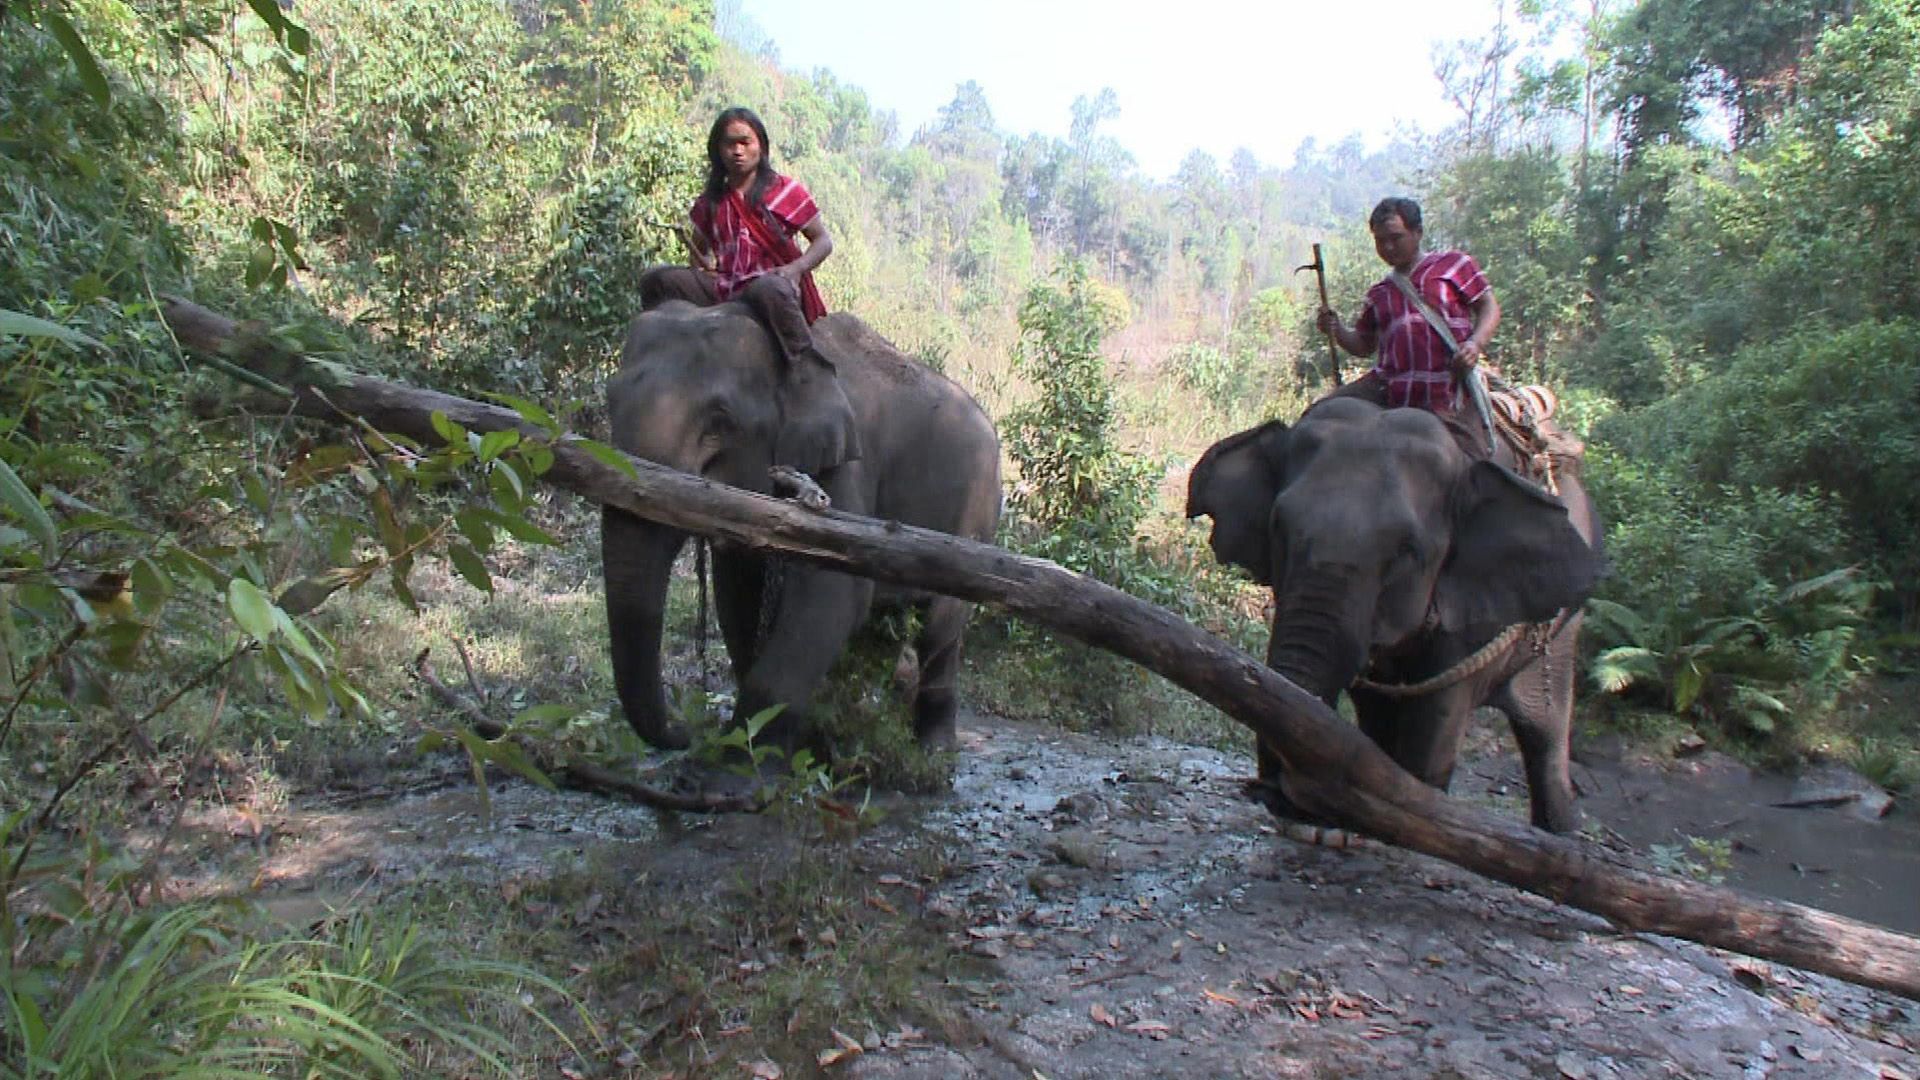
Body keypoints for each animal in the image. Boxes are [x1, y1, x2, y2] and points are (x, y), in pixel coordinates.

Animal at [603, 299, 1002, 755]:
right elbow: (737, 592)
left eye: (719, 422)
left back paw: (933, 748)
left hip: (976, 511)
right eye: (609, 399)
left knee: (940, 625)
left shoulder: (842, 464)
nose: (685, 732)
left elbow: (835, 592)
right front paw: (796, 741)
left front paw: (735, 765)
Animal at [1185, 396, 1603, 834]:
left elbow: (1434, 725)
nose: (1270, 792)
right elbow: (1373, 711)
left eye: (1407, 551)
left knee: (1546, 731)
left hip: (1563, 627)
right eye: (1278, 527)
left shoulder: (1470, 607)